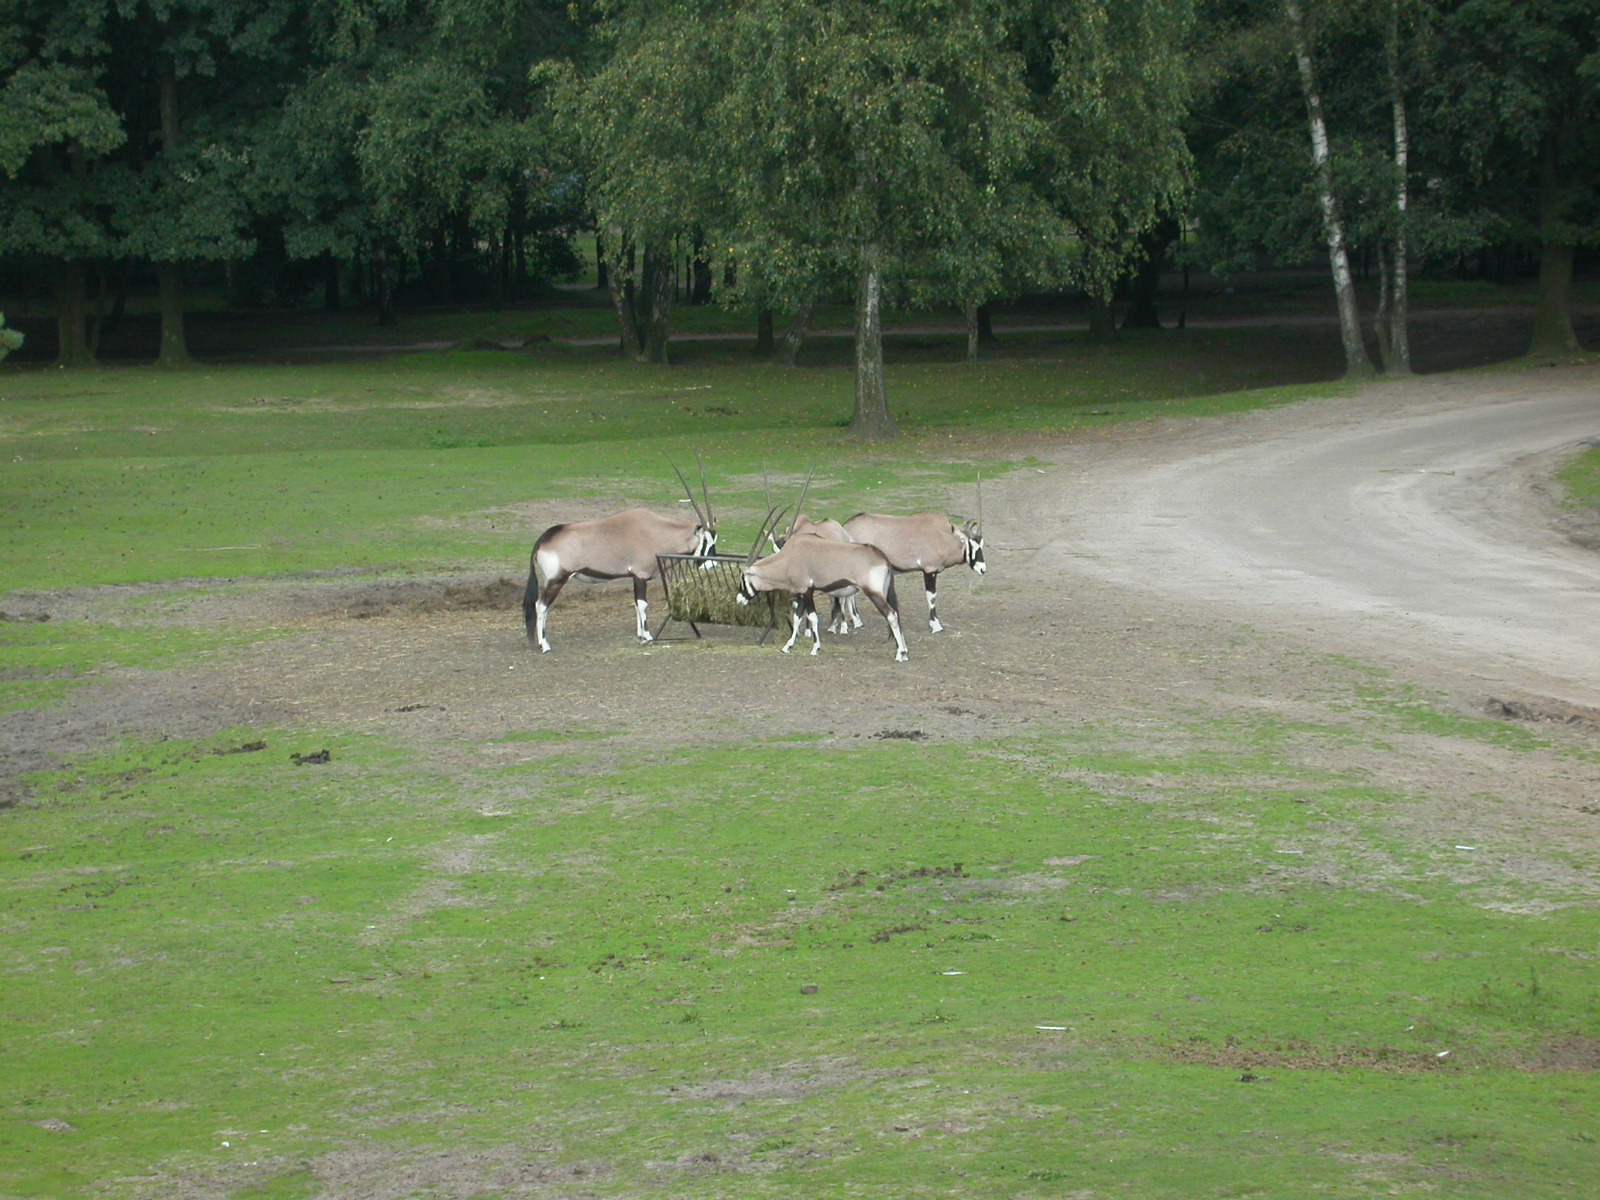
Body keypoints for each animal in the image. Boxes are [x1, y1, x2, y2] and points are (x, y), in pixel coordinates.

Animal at [524, 454, 720, 652]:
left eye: (715, 540)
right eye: (704, 541)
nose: (711, 564)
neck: (656, 532)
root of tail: (544, 539)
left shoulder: (634, 576)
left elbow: (636, 604)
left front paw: (640, 634)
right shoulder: (641, 575)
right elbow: (642, 604)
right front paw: (648, 636)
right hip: (557, 579)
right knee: (541, 606)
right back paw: (545, 645)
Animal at [844, 473, 979, 640]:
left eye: (981, 544)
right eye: (970, 545)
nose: (983, 569)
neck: (942, 535)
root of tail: (845, 526)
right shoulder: (929, 571)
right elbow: (931, 596)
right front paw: (936, 626)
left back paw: (856, 621)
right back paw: (854, 622)